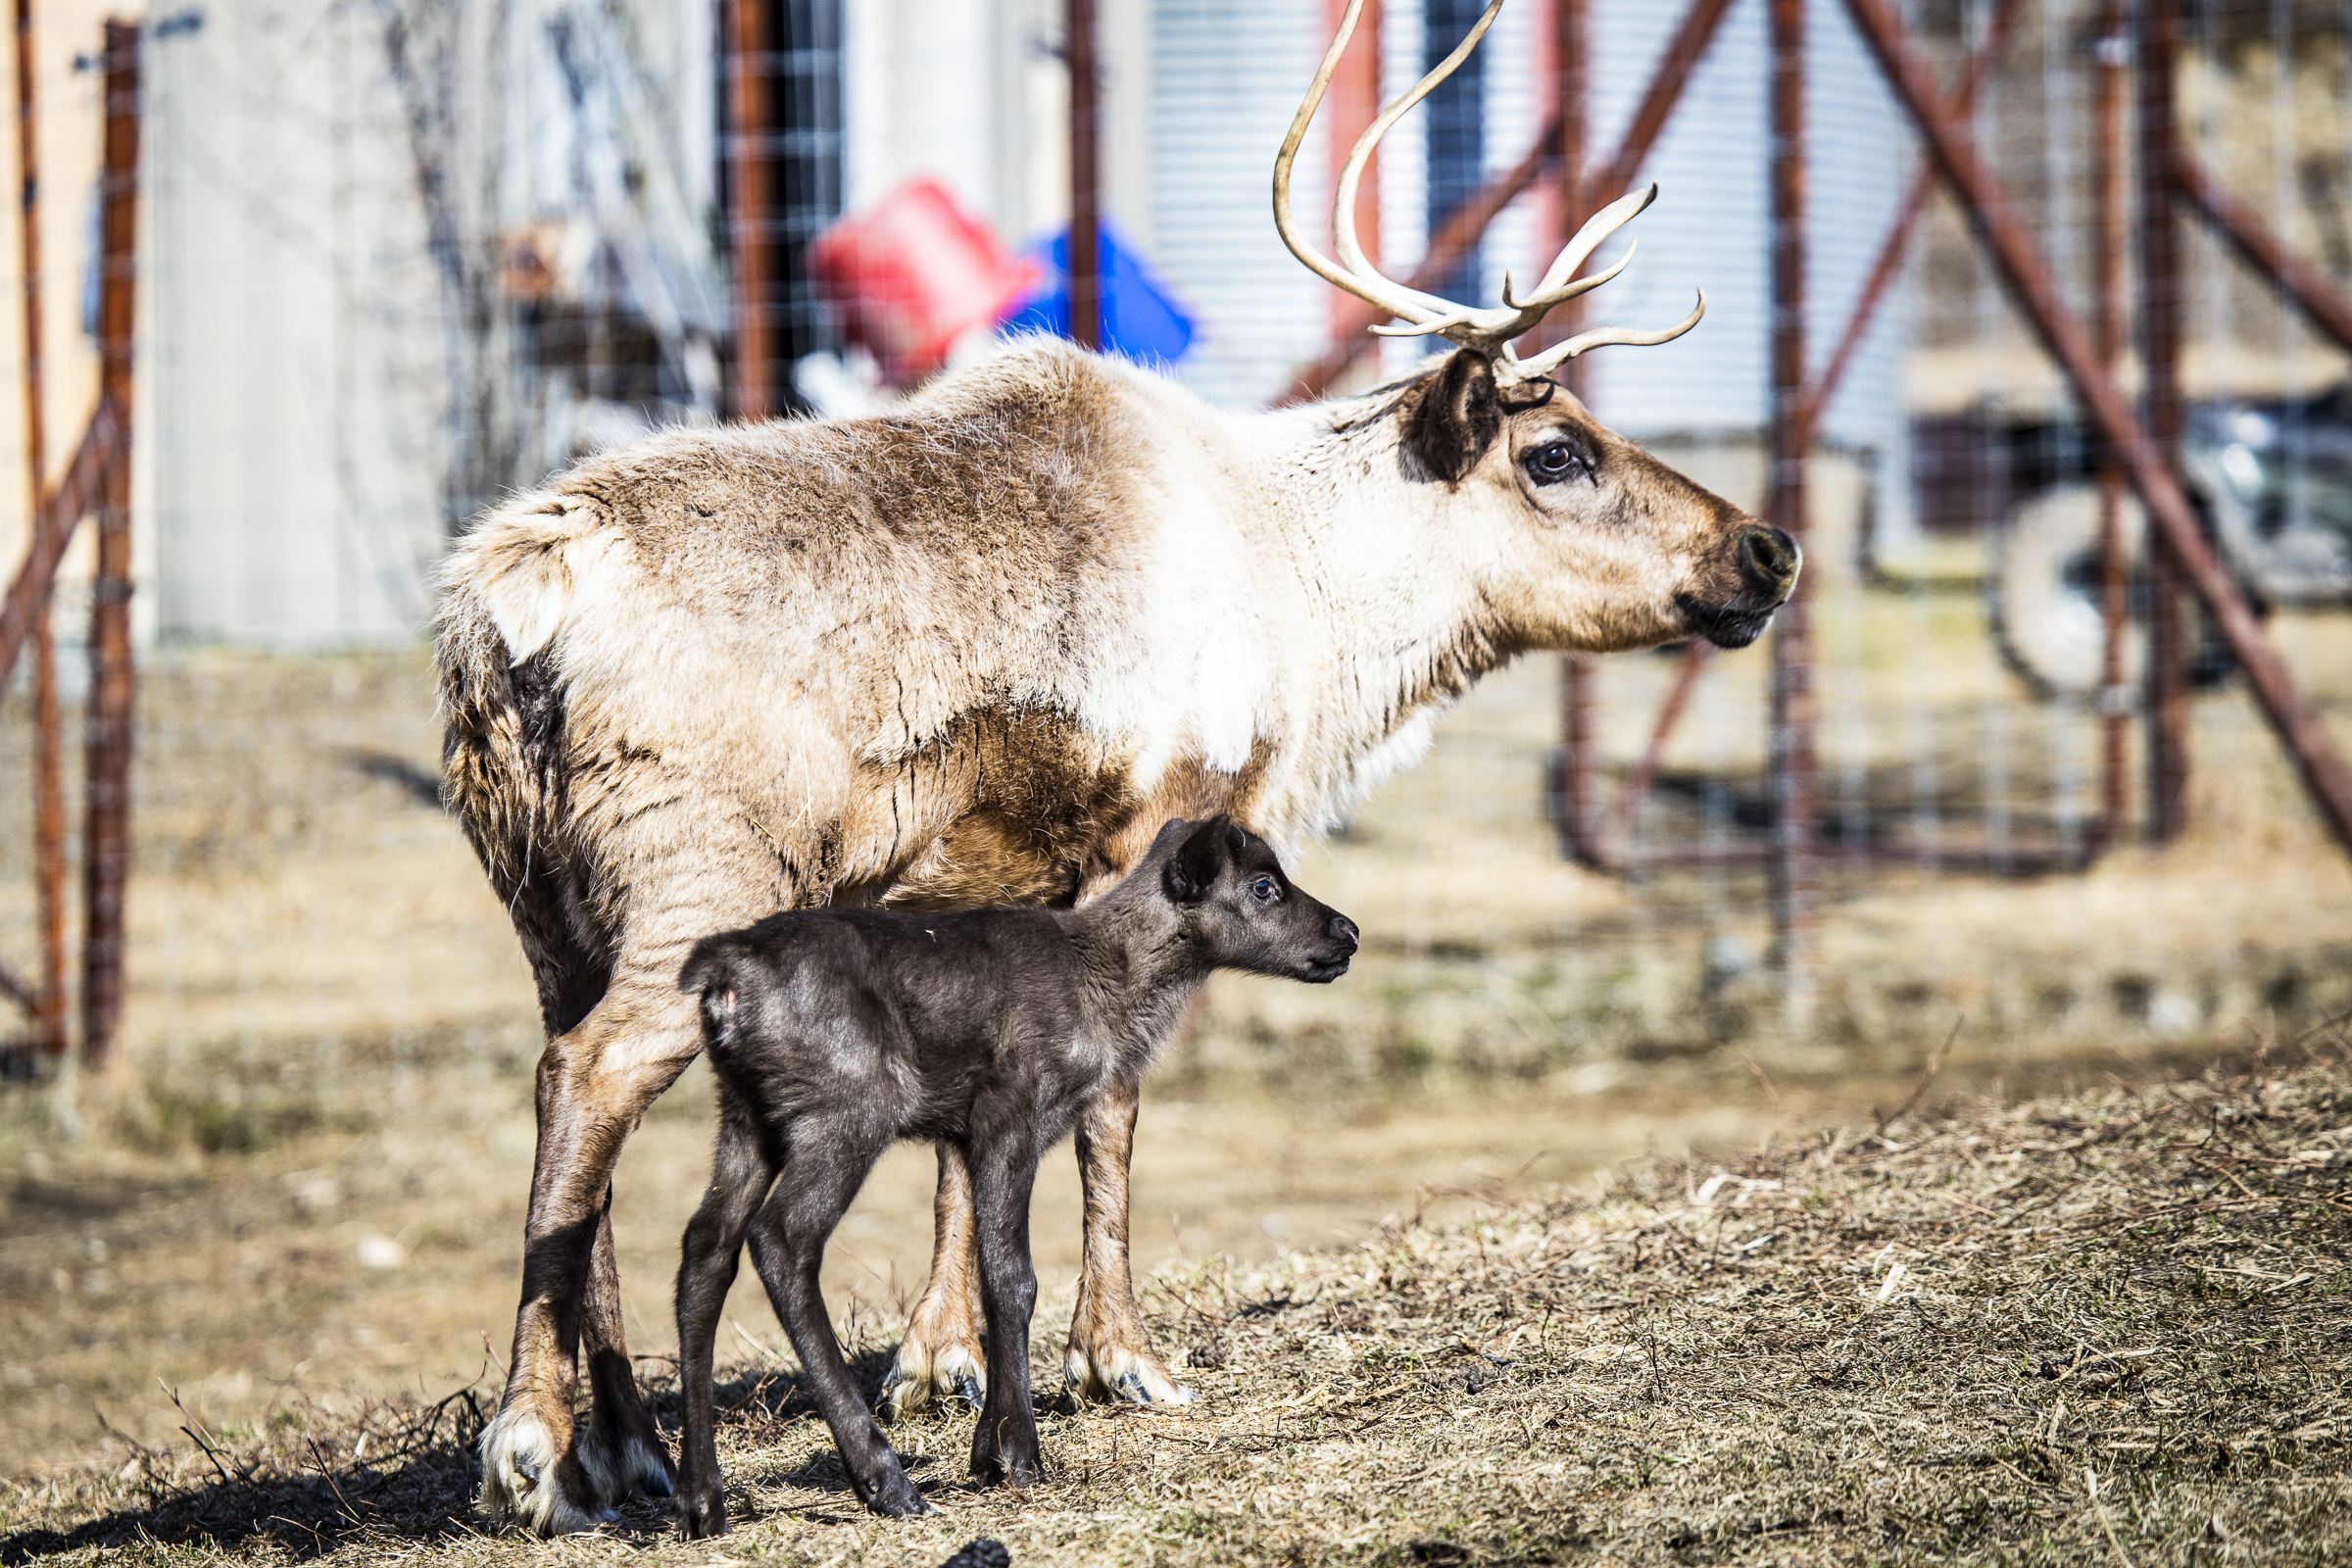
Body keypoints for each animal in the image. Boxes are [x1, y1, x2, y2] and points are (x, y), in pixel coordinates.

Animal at [671, 816, 1357, 1532]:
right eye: (1263, 885)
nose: (1349, 934)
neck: (1108, 981)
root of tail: (722, 973)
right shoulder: (1013, 1115)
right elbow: (1012, 1275)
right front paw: (1015, 1452)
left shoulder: (971, 1135)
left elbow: (992, 1264)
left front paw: (989, 1450)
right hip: (844, 1114)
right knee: (782, 1239)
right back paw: (887, 1482)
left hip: (746, 1116)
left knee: (705, 1249)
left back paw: (702, 1501)